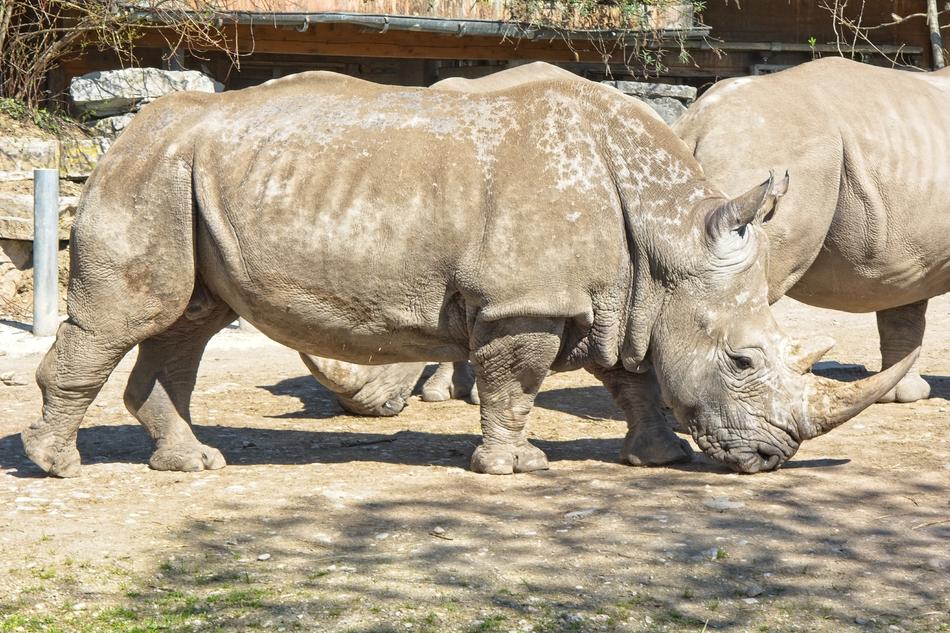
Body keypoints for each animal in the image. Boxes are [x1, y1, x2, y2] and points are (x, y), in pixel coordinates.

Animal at [22, 68, 915, 478]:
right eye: (742, 359)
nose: (771, 456)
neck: (668, 240)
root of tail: (127, 133)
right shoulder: (526, 302)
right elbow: (514, 384)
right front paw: (515, 469)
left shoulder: (616, 295)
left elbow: (634, 376)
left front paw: (656, 458)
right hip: (148, 173)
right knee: (131, 316)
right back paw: (57, 464)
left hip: (182, 177)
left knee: (188, 322)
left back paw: (195, 465)